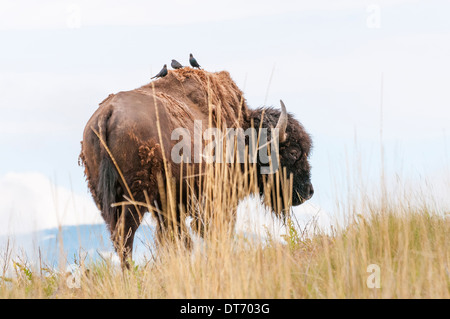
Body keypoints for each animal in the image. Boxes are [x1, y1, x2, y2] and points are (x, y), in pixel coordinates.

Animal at [79, 69, 312, 268]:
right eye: (293, 152)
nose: (308, 192)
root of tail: (108, 113)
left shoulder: (170, 208)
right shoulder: (218, 201)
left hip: (105, 199)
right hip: (134, 199)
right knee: (124, 236)